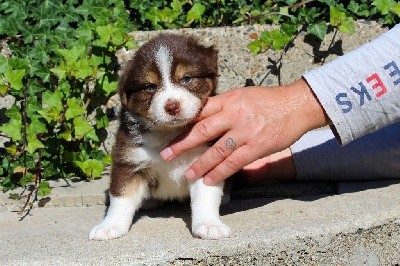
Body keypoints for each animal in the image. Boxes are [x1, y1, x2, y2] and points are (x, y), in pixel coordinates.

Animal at [88, 34, 230, 240]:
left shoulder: (206, 160)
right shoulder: (129, 161)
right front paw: (109, 227)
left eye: (186, 78)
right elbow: (121, 198)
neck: (169, 134)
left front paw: (210, 225)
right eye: (149, 87)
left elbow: (205, 197)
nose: (172, 106)